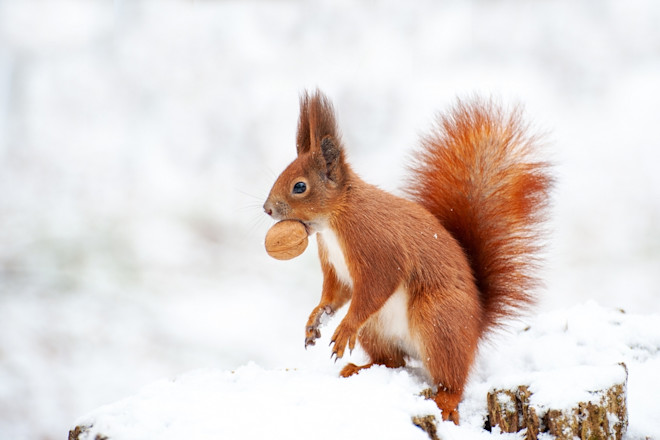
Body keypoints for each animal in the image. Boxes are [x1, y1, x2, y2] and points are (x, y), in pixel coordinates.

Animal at [263, 90, 552, 423]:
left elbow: (376, 285)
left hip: (438, 321)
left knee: (451, 378)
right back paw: (359, 368)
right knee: (393, 362)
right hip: (377, 331)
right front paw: (315, 320)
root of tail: (476, 326)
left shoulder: (377, 246)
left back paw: (446, 400)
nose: (267, 209)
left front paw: (344, 328)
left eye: (300, 186)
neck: (335, 220)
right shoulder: (335, 266)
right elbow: (336, 294)